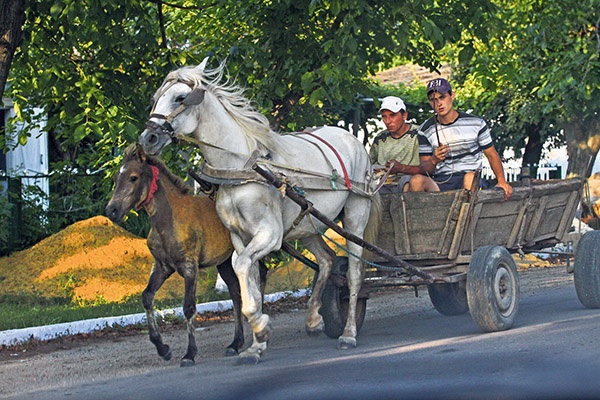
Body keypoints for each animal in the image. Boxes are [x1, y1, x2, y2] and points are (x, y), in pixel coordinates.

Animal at [139, 60, 380, 366]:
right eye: (155, 98)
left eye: (180, 98)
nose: (148, 138)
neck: (241, 167)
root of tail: (353, 138)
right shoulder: (240, 237)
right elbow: (249, 281)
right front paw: (255, 345)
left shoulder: (269, 234)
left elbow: (242, 269)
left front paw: (261, 326)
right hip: (308, 222)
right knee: (326, 260)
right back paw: (313, 318)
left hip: (355, 216)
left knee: (354, 274)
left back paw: (348, 333)